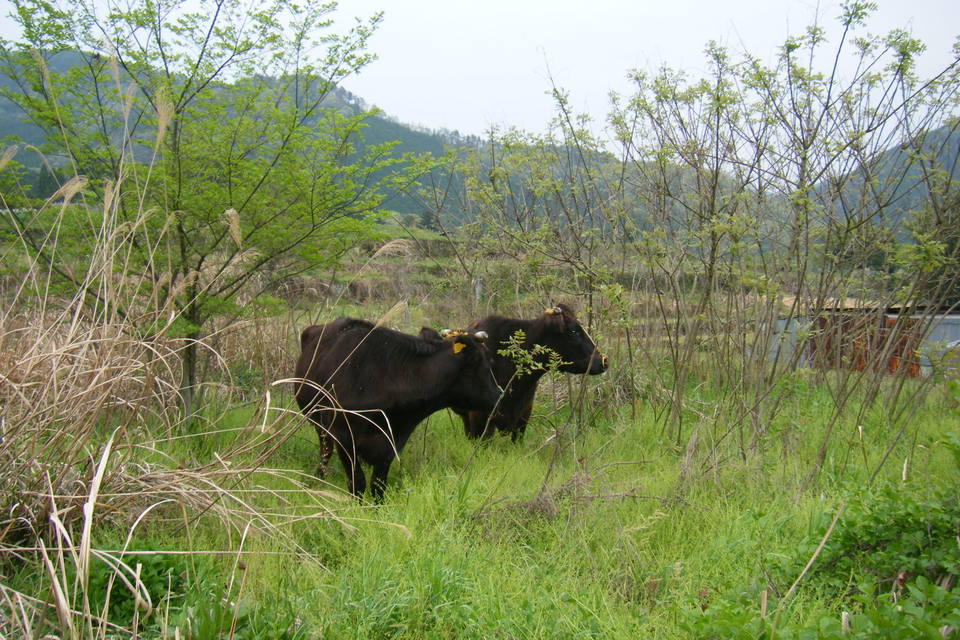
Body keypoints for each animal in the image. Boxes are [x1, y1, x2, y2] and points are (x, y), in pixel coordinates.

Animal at [296, 318, 498, 502]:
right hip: (319, 423)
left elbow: (378, 484)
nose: (498, 395)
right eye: (486, 361)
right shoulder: (343, 437)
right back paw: (318, 477)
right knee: (325, 449)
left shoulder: (392, 440)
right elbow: (357, 482)